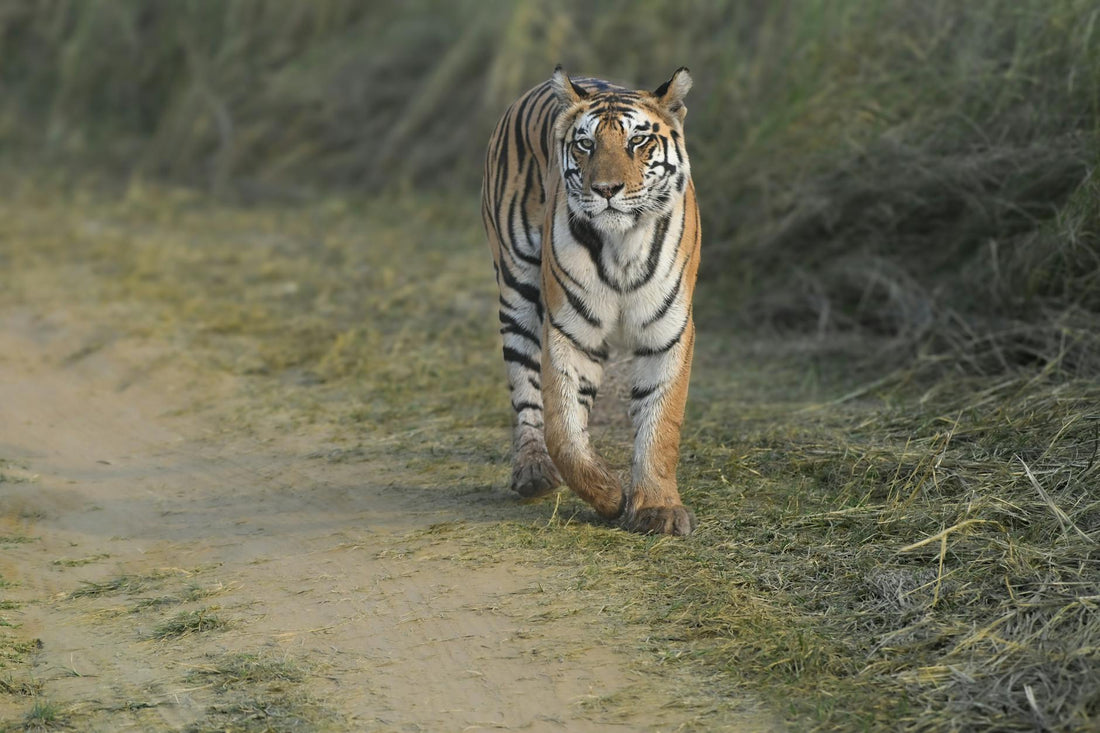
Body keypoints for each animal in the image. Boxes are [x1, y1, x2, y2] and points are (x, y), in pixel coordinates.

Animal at [481, 66, 700, 536]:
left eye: (638, 141)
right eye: (586, 144)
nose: (606, 189)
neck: (622, 246)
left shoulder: (668, 330)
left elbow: (660, 421)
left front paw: (659, 508)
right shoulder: (570, 329)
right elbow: (563, 432)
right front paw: (609, 495)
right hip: (516, 288)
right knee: (526, 390)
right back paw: (533, 471)